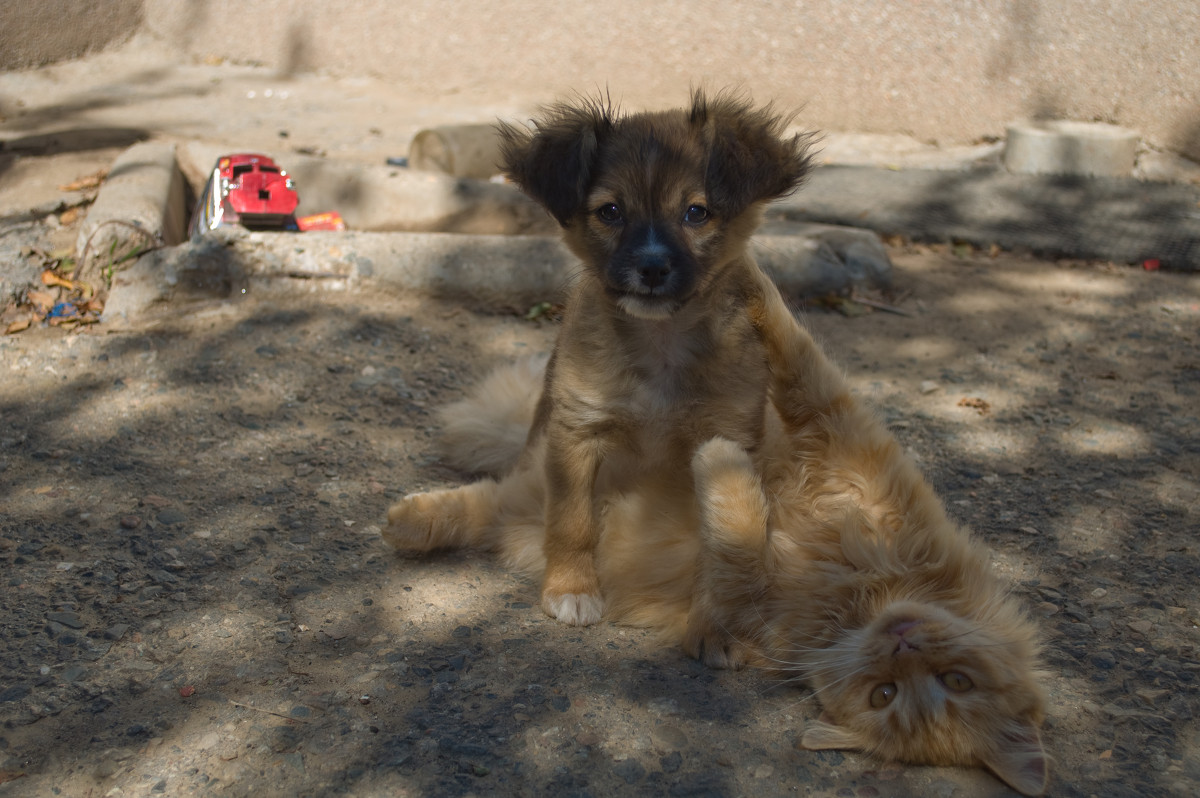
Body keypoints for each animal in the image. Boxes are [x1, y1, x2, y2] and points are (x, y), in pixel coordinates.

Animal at [384, 88, 816, 624]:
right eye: (610, 212)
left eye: (696, 213)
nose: (651, 267)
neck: (660, 343)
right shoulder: (576, 434)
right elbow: (571, 521)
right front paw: (570, 588)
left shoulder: (728, 439)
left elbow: (718, 523)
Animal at [388, 268, 1046, 792]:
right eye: (954, 679)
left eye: (886, 695)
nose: (902, 645)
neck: (861, 588)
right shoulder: (834, 424)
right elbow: (790, 341)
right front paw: (747, 276)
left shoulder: (752, 604)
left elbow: (738, 541)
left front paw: (720, 460)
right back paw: (406, 519)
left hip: (533, 511)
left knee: (493, 508)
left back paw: (412, 526)